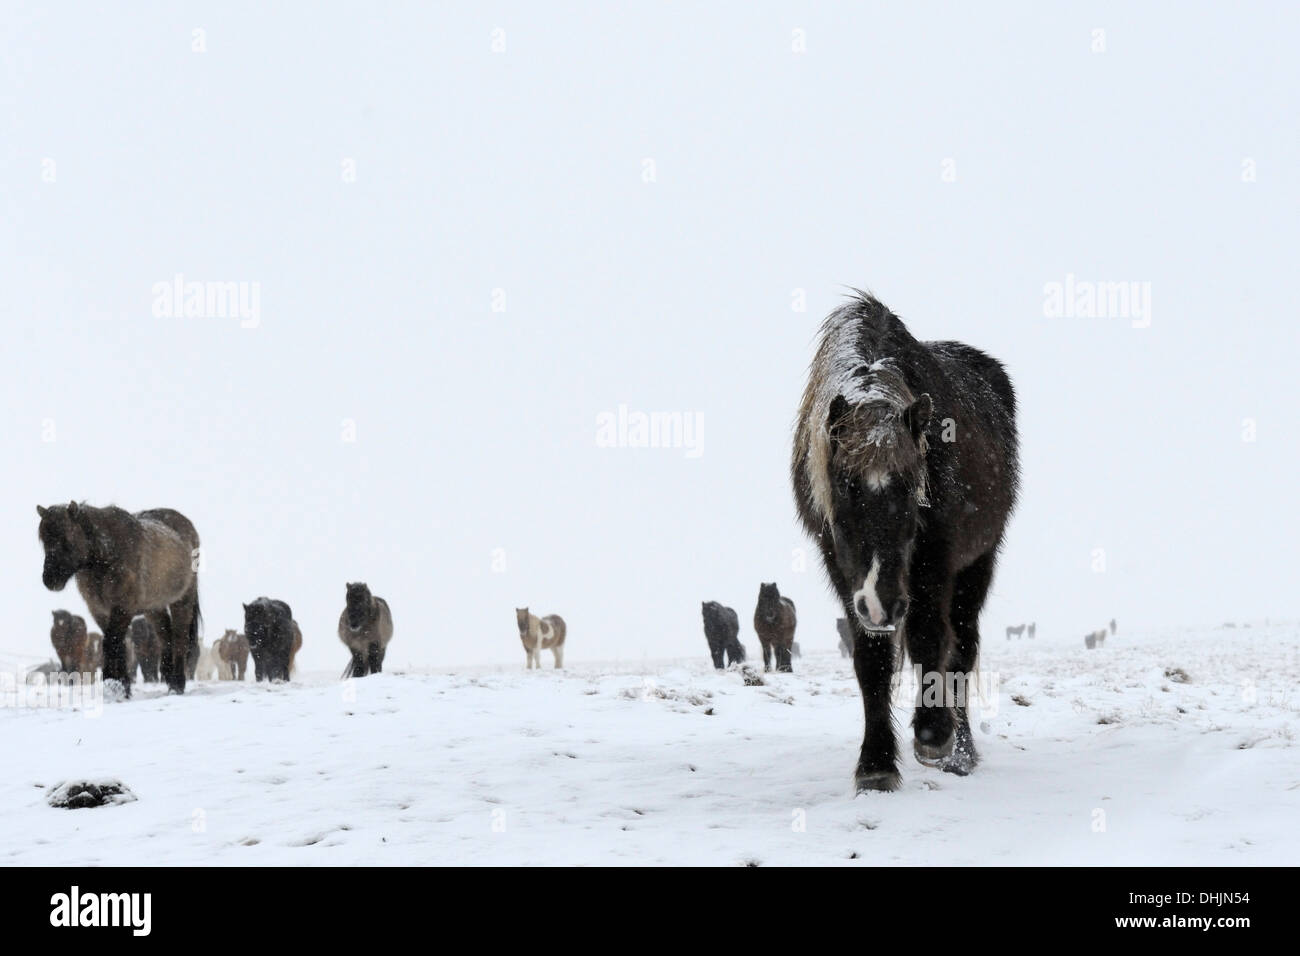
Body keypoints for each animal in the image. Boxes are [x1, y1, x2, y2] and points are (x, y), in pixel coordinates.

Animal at [37, 502, 200, 697]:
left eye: (67, 538)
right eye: (44, 541)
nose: (50, 580)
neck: (108, 554)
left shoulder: (122, 609)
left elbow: (111, 643)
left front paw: (115, 686)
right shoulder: (100, 611)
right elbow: (118, 645)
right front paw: (122, 687)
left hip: (183, 600)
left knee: (180, 637)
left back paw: (178, 684)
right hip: (154, 608)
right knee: (165, 636)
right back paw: (169, 682)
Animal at [785, 291, 1019, 790]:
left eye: (913, 488)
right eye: (844, 488)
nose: (882, 603)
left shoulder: (936, 560)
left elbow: (931, 638)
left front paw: (932, 734)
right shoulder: (842, 569)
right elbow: (870, 660)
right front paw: (875, 764)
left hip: (978, 563)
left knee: (962, 646)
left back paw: (960, 752)